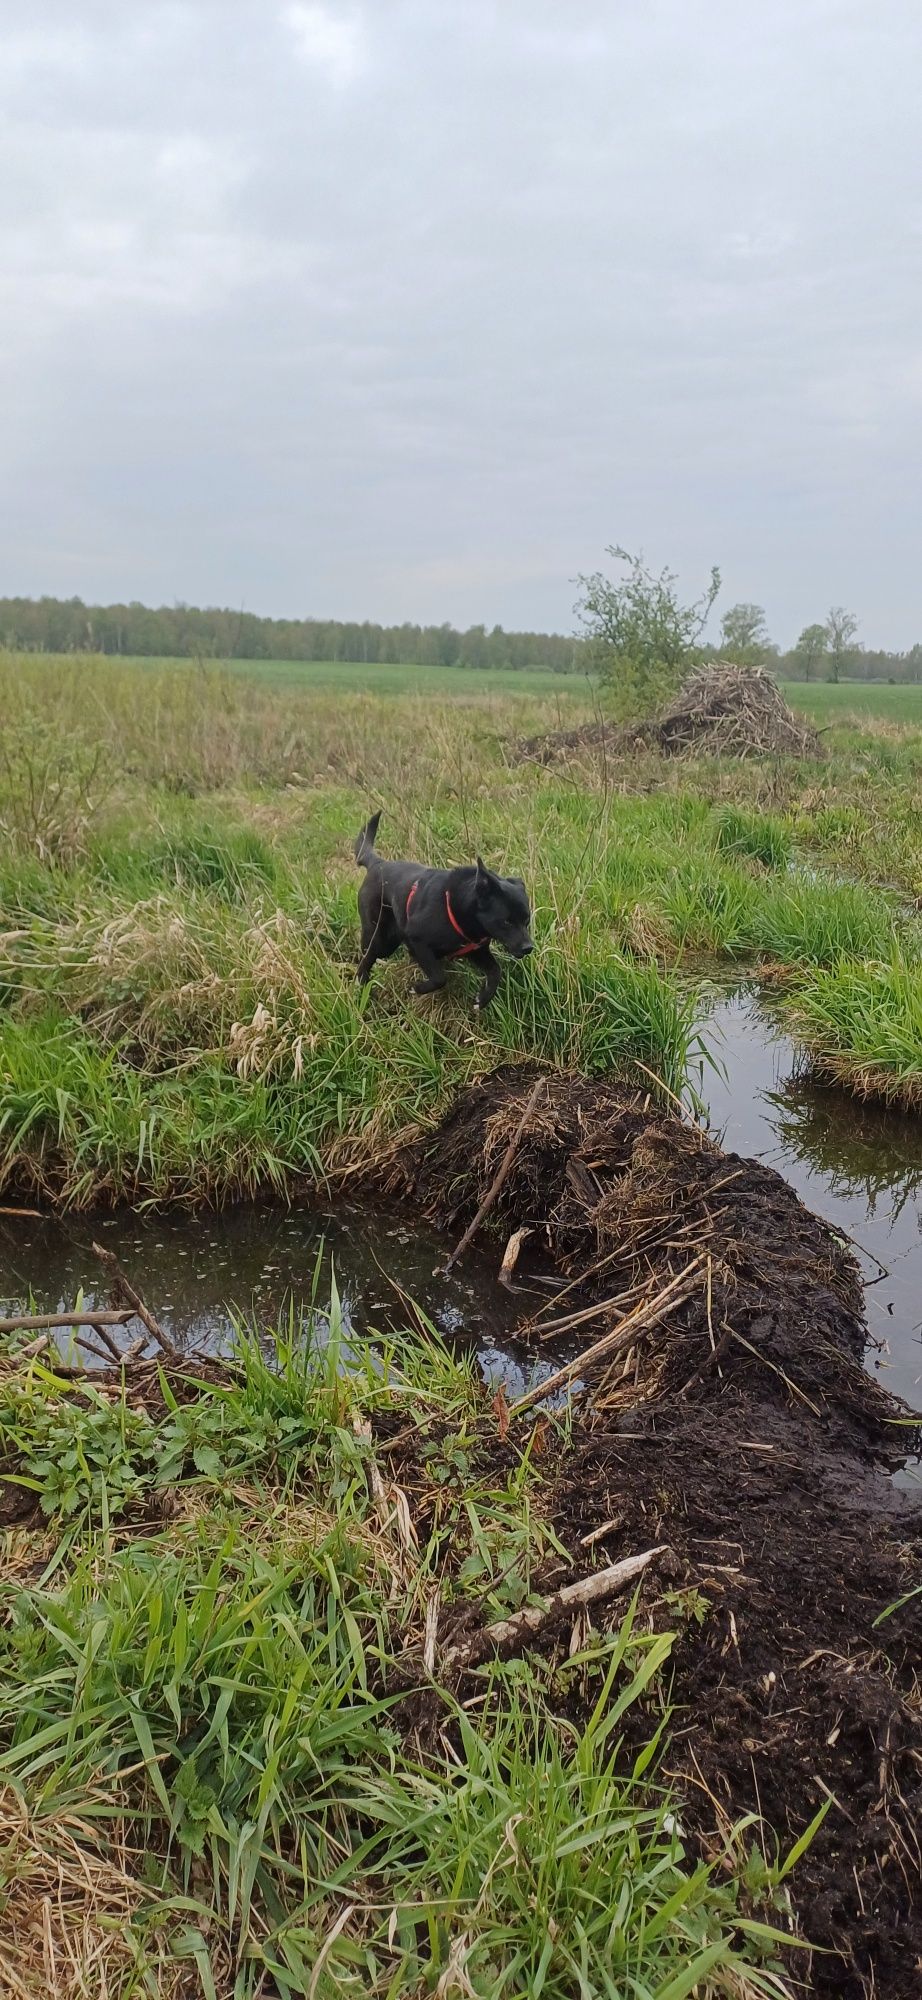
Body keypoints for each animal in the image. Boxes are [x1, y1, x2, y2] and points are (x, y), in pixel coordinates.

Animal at [356, 804, 536, 1008]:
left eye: (527, 921)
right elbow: (439, 978)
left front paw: (482, 999)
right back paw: (363, 988)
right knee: (365, 961)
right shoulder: (417, 939)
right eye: (506, 922)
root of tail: (378, 863)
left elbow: (496, 972)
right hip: (379, 938)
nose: (528, 948)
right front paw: (417, 988)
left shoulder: (477, 951)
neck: (462, 910)